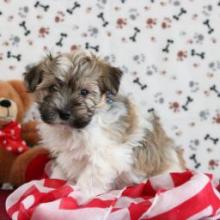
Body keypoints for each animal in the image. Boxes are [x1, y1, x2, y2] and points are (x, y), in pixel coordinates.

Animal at [23, 50, 184, 199]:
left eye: (84, 92)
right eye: (52, 88)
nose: (64, 113)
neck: (77, 130)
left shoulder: (105, 156)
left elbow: (90, 179)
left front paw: (78, 195)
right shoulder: (65, 156)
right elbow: (61, 171)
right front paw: (56, 185)